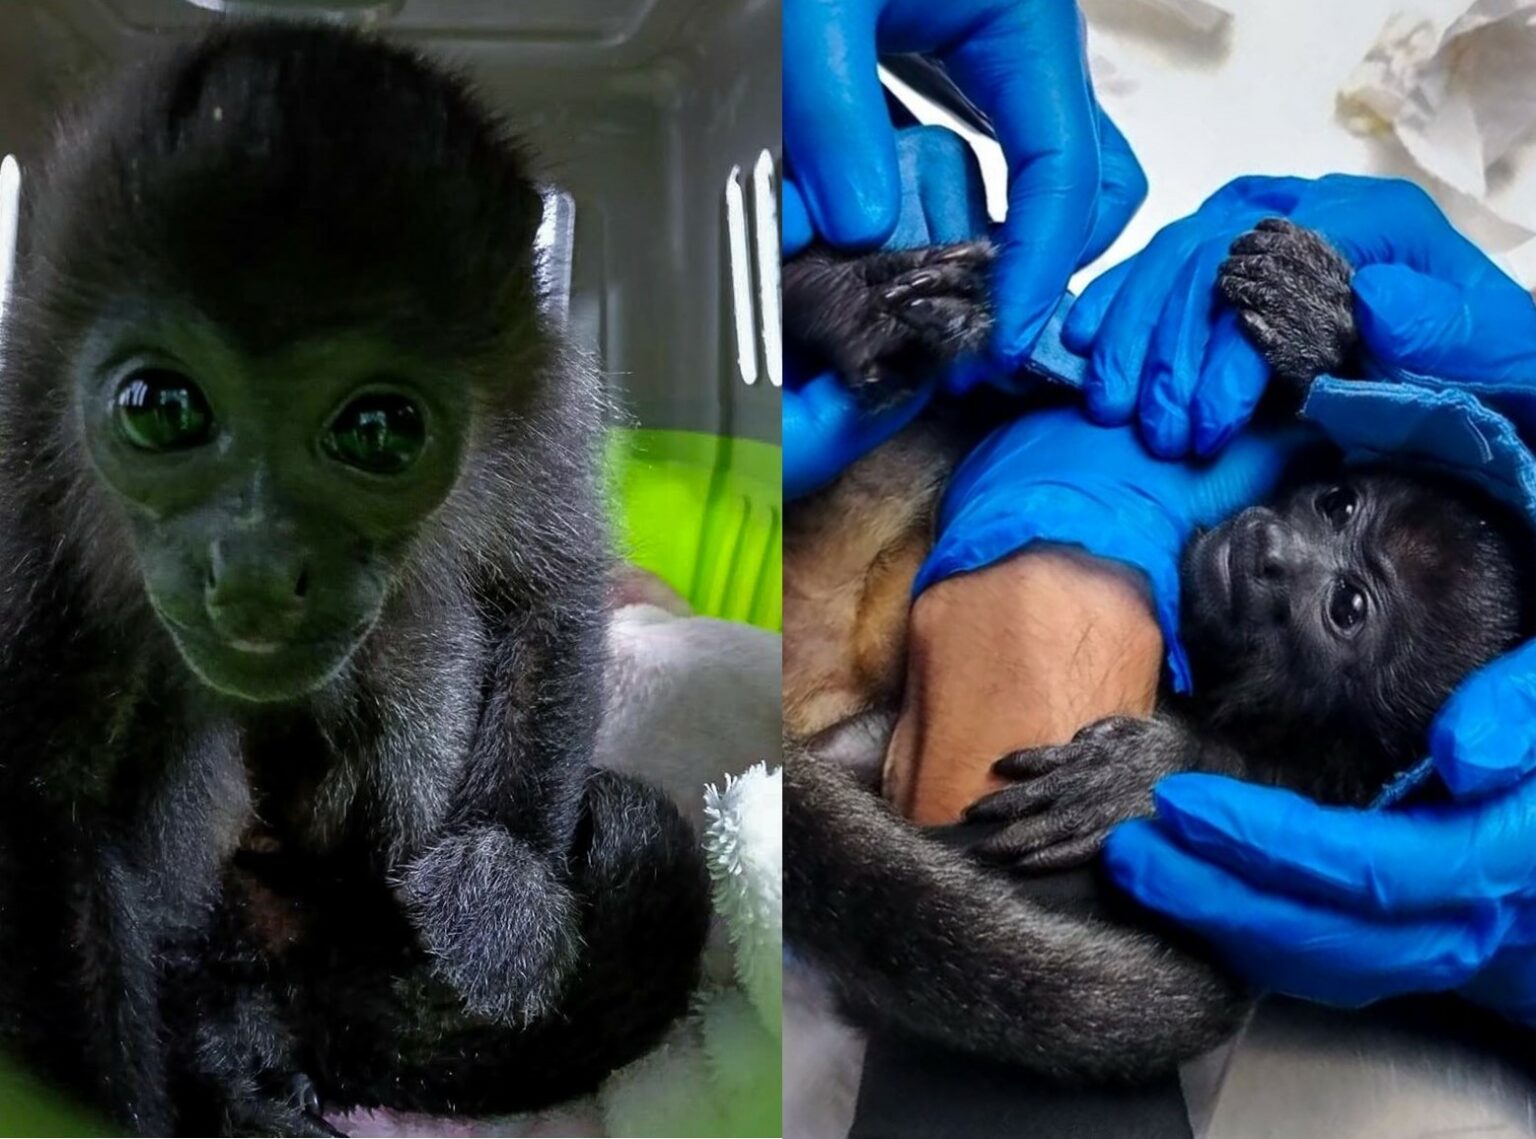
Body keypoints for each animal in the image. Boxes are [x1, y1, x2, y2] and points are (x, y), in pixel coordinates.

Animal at [0, 22, 708, 1134]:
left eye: (378, 429)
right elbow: (46, 797)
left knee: (423, 638)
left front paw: (502, 888)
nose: (252, 568)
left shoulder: (543, 402)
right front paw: (164, 1102)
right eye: (162, 408)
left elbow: (545, 600)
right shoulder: (27, 451)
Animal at [781, 218, 1534, 1080]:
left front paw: (1152, 772)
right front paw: (1321, 337)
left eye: (1347, 607)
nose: (1270, 550)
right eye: (1338, 505)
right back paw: (845, 306)